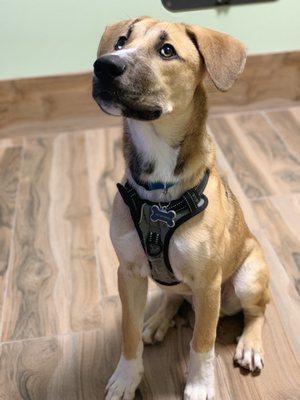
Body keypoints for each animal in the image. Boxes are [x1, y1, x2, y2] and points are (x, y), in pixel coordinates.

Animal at [92, 16, 270, 400]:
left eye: (167, 50)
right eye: (121, 42)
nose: (103, 66)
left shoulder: (207, 283)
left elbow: (201, 342)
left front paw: (200, 385)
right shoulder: (128, 273)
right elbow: (128, 332)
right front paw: (126, 377)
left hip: (247, 279)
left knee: (257, 311)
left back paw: (250, 345)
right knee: (174, 297)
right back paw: (158, 320)